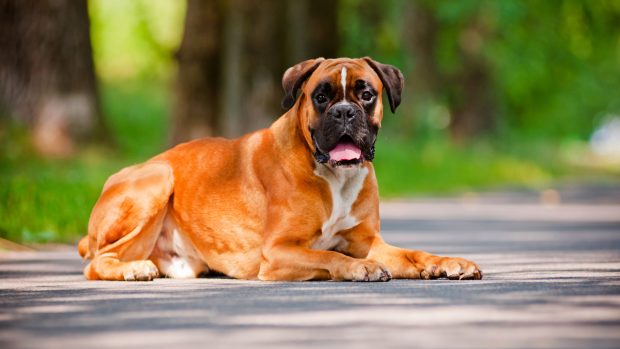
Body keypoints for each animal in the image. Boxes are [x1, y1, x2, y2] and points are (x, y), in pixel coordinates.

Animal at [78, 56, 484, 280]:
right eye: (320, 96)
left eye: (366, 94)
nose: (344, 112)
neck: (334, 178)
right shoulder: (277, 252)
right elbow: (328, 255)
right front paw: (359, 269)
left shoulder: (368, 242)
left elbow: (414, 253)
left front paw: (447, 262)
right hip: (158, 177)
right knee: (98, 261)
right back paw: (132, 269)